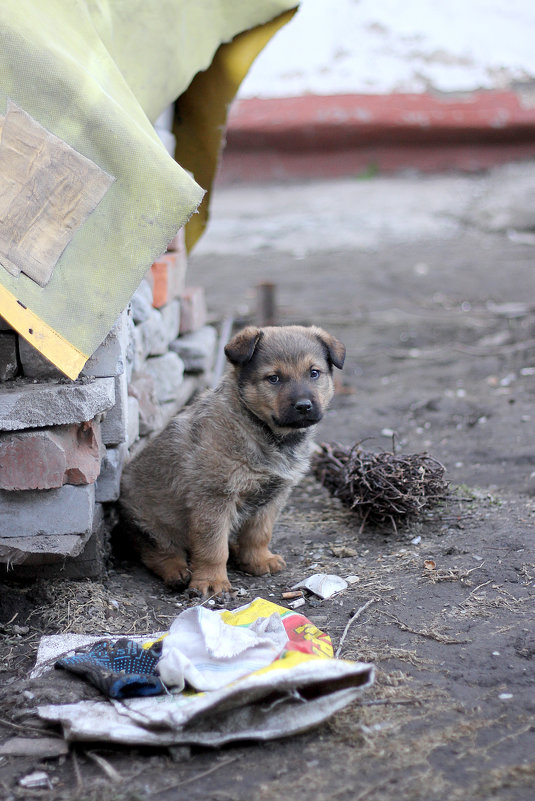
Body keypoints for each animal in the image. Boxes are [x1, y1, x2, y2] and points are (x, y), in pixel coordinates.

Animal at [119, 324, 346, 592]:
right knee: (157, 551)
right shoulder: (215, 497)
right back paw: (176, 571)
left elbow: (259, 534)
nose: (303, 406)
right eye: (274, 378)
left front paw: (258, 560)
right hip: (149, 522)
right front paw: (211, 580)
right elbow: (212, 547)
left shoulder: (273, 497)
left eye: (314, 373)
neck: (261, 430)